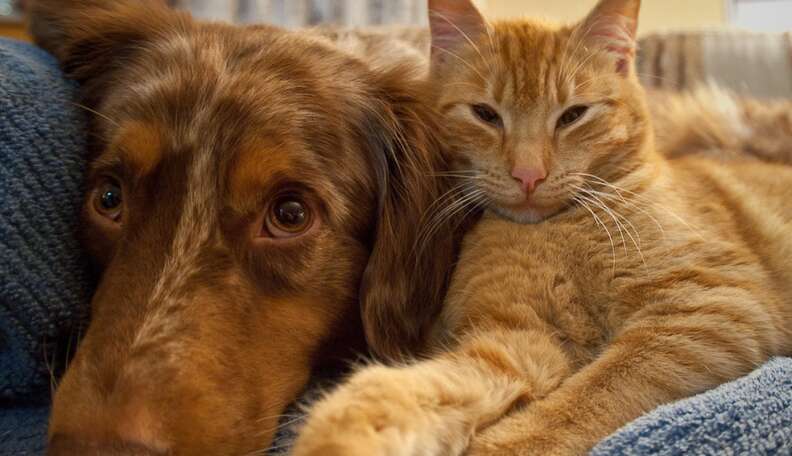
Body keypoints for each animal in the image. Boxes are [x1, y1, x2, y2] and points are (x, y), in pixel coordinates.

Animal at [290, 0, 792, 456]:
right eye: (485, 114)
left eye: (572, 115)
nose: (528, 174)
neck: (553, 231)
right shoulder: (516, 335)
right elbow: (408, 389)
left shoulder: (710, 306)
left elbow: (589, 395)